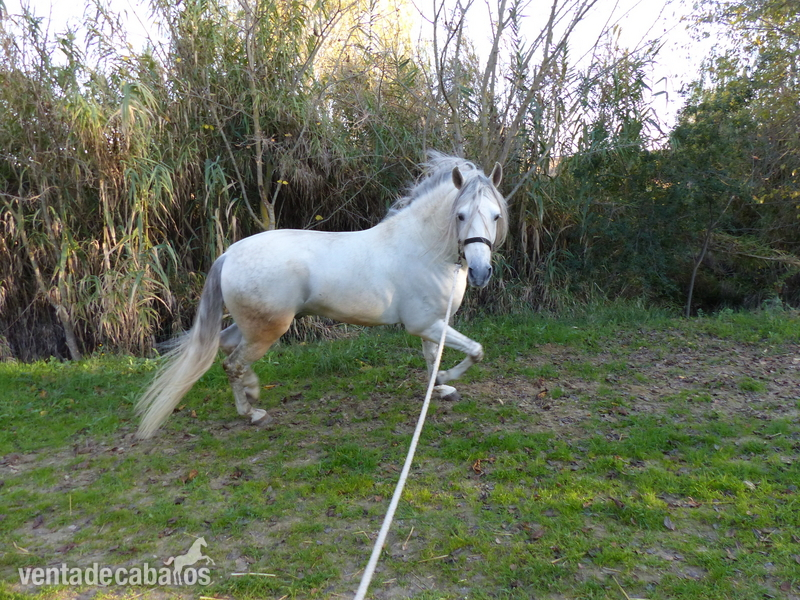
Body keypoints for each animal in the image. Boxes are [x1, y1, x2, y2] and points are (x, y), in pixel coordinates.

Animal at [136, 151, 508, 439]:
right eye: (460, 215)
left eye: (495, 215)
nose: (480, 272)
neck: (424, 250)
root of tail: (229, 254)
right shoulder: (423, 324)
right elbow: (475, 351)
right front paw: (446, 380)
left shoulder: (432, 324)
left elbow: (433, 358)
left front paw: (440, 389)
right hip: (268, 329)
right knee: (233, 362)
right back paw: (252, 412)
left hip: (251, 325)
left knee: (228, 349)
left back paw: (252, 395)